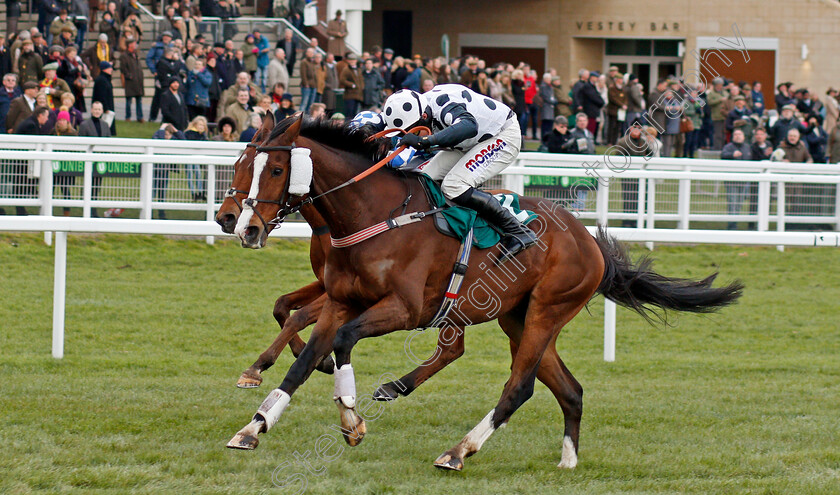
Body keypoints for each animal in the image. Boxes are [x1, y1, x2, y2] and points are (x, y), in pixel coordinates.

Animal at [225, 117, 740, 472]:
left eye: (276, 168)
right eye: (240, 165)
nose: (241, 225)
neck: (372, 214)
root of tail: (589, 241)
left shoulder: (404, 309)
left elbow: (342, 340)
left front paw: (351, 421)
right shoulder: (339, 300)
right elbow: (304, 357)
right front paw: (253, 427)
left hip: (547, 311)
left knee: (520, 385)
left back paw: (458, 450)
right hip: (517, 317)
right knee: (568, 390)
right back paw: (568, 459)